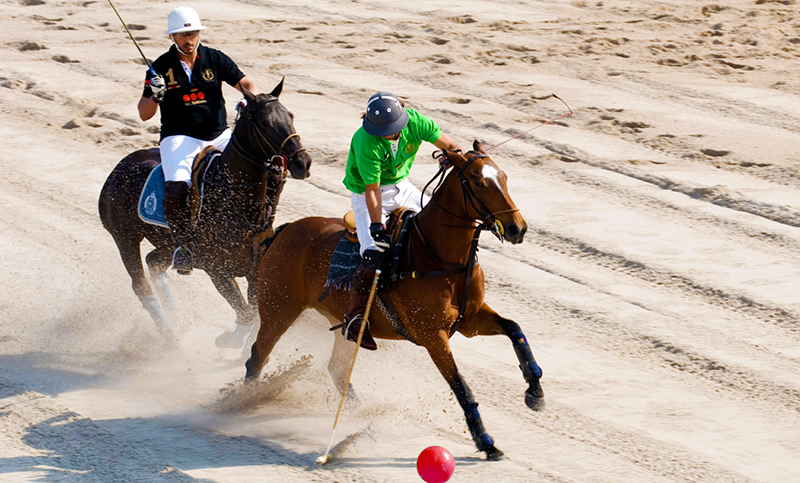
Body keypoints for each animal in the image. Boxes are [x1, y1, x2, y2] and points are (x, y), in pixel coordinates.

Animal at [98, 80, 310, 344]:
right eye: (264, 122)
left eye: (290, 115)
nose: (303, 161)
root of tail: (120, 166)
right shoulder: (217, 271)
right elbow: (246, 314)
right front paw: (229, 340)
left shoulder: (255, 269)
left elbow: (255, 313)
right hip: (125, 237)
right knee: (140, 285)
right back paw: (170, 336)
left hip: (168, 245)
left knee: (154, 262)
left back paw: (178, 319)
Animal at [245, 141, 544, 462]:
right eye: (478, 182)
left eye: (504, 177)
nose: (517, 228)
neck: (441, 256)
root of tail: (285, 230)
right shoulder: (432, 335)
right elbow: (461, 386)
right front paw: (486, 442)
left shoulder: (471, 320)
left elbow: (514, 329)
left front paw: (535, 391)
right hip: (279, 308)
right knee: (257, 356)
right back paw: (240, 402)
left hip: (341, 324)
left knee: (336, 369)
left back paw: (356, 413)